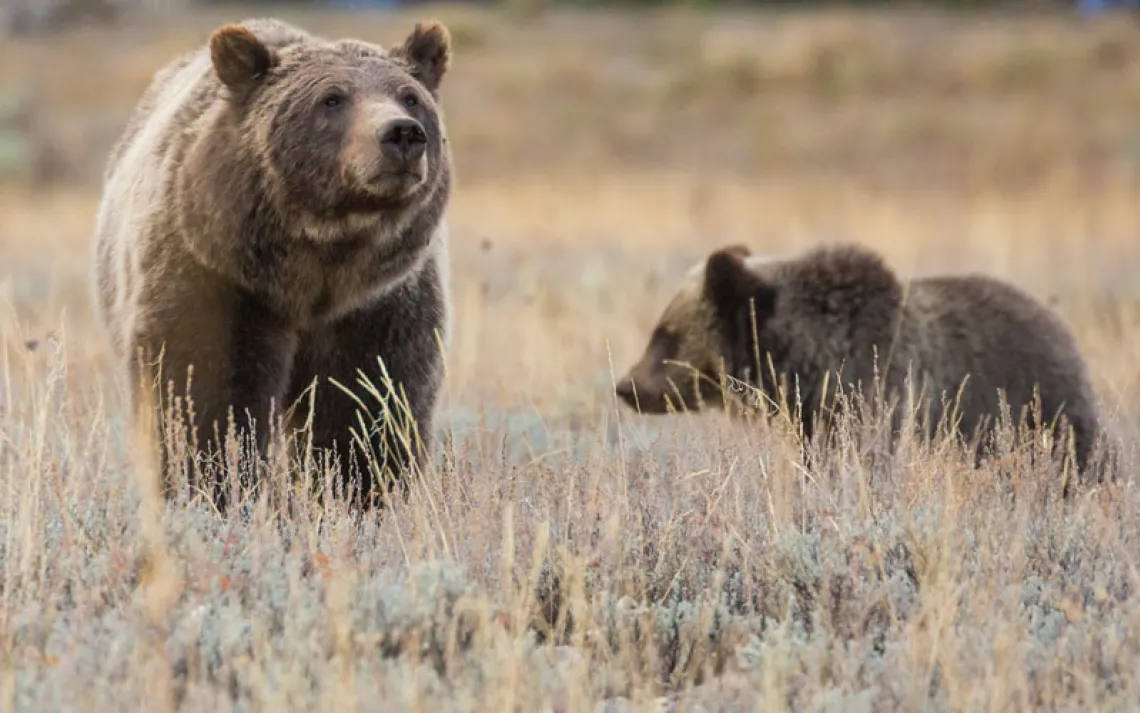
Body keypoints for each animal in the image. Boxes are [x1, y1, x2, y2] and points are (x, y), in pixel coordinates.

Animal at [91, 17, 455, 510]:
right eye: (332, 98)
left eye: (410, 95)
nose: (402, 133)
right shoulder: (215, 280)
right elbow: (205, 395)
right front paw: (213, 489)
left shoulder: (381, 302)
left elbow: (367, 402)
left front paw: (355, 494)